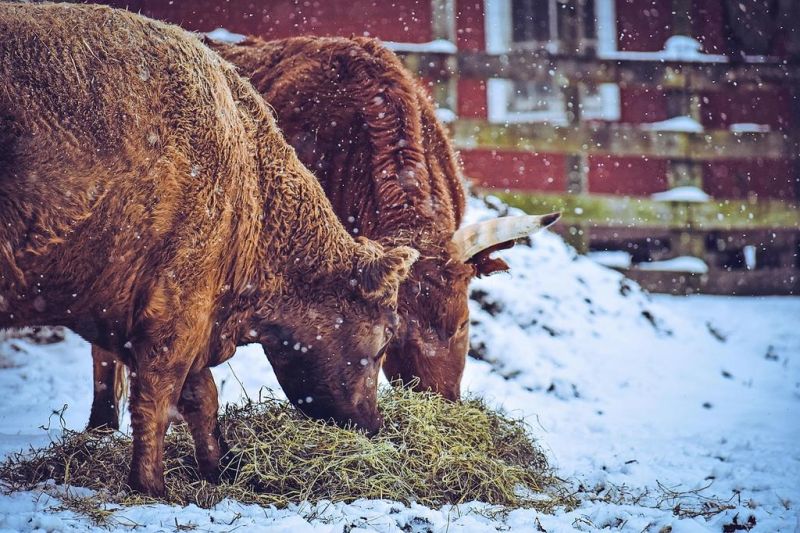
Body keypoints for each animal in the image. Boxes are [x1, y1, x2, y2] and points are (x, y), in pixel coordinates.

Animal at [1, 3, 418, 494]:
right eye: (387, 335)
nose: (375, 426)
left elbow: (203, 397)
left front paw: (219, 469)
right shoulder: (177, 308)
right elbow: (158, 399)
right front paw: (151, 486)